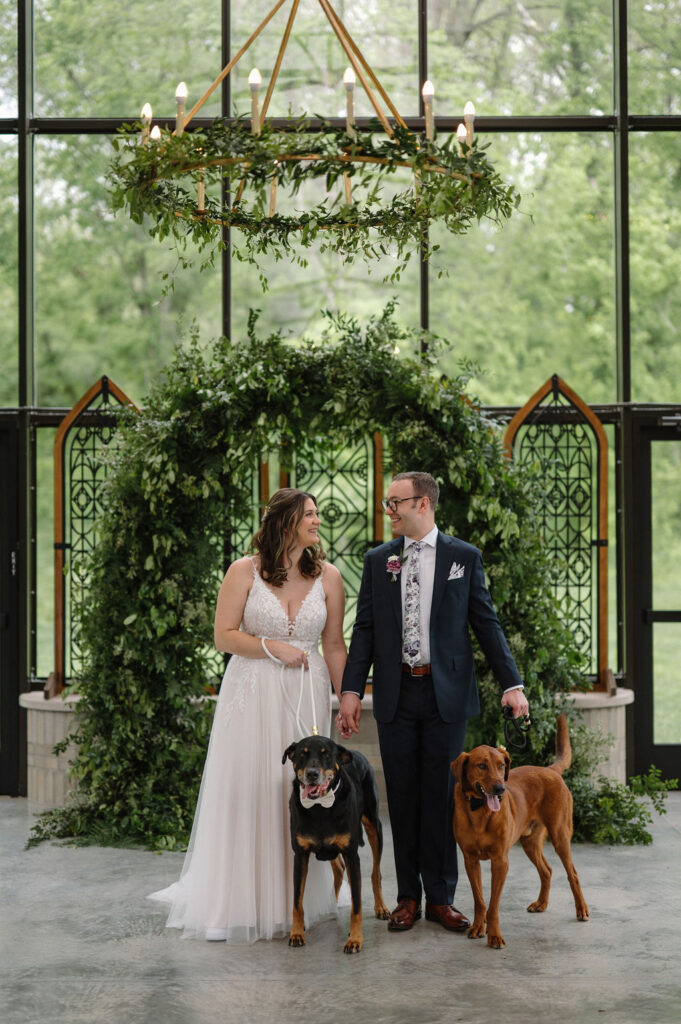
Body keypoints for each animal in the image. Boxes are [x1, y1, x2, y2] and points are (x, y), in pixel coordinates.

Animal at [282, 735, 390, 953]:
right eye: (302, 754)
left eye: (326, 755)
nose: (312, 774)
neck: (319, 807)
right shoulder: (300, 855)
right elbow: (297, 901)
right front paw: (296, 933)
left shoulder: (351, 854)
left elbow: (357, 904)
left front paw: (355, 939)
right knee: (339, 869)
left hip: (374, 826)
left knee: (376, 873)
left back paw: (380, 907)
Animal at [450, 713, 589, 949]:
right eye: (481, 765)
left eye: (501, 766)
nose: (500, 789)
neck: (480, 812)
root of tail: (549, 770)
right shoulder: (470, 860)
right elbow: (480, 900)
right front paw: (478, 926)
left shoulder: (500, 861)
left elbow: (493, 905)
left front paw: (494, 935)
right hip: (530, 842)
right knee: (547, 870)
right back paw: (541, 903)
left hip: (560, 835)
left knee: (573, 873)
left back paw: (581, 909)